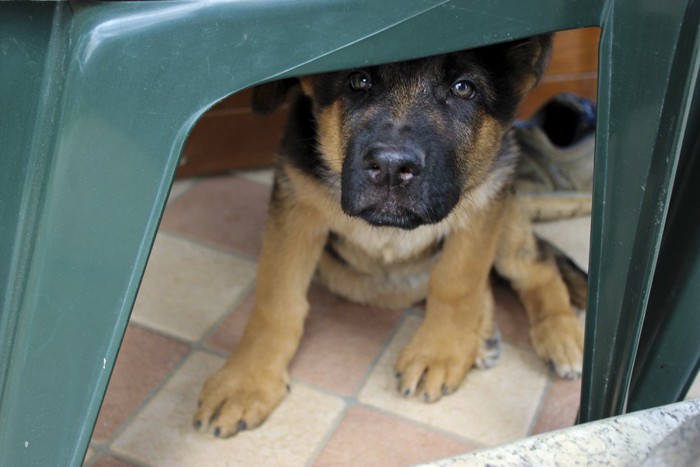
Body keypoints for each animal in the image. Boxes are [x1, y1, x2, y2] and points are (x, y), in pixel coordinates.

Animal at [191, 35, 584, 438]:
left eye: (463, 88)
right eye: (359, 80)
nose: (393, 169)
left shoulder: (486, 197)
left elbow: (457, 283)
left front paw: (439, 350)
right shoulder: (296, 203)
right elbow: (277, 301)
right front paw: (246, 380)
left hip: (506, 213)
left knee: (536, 268)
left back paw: (561, 334)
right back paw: (484, 333)